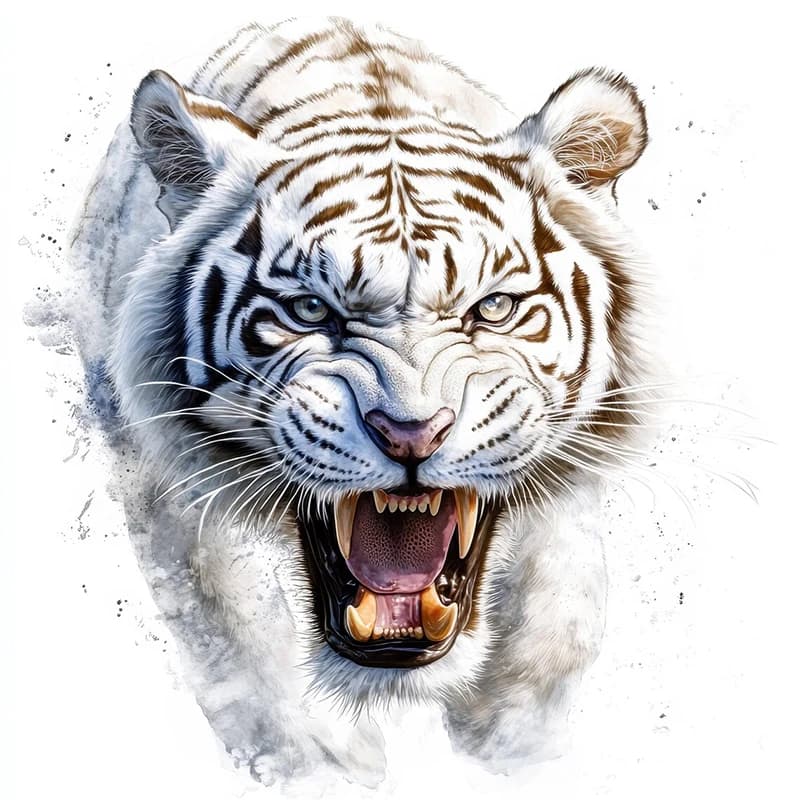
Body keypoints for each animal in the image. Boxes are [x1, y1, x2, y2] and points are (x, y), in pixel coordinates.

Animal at [71, 16, 650, 782]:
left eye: (493, 309)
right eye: (311, 311)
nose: (412, 433)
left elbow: (554, 633)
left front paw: (510, 739)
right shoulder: (173, 501)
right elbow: (244, 644)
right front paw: (322, 759)